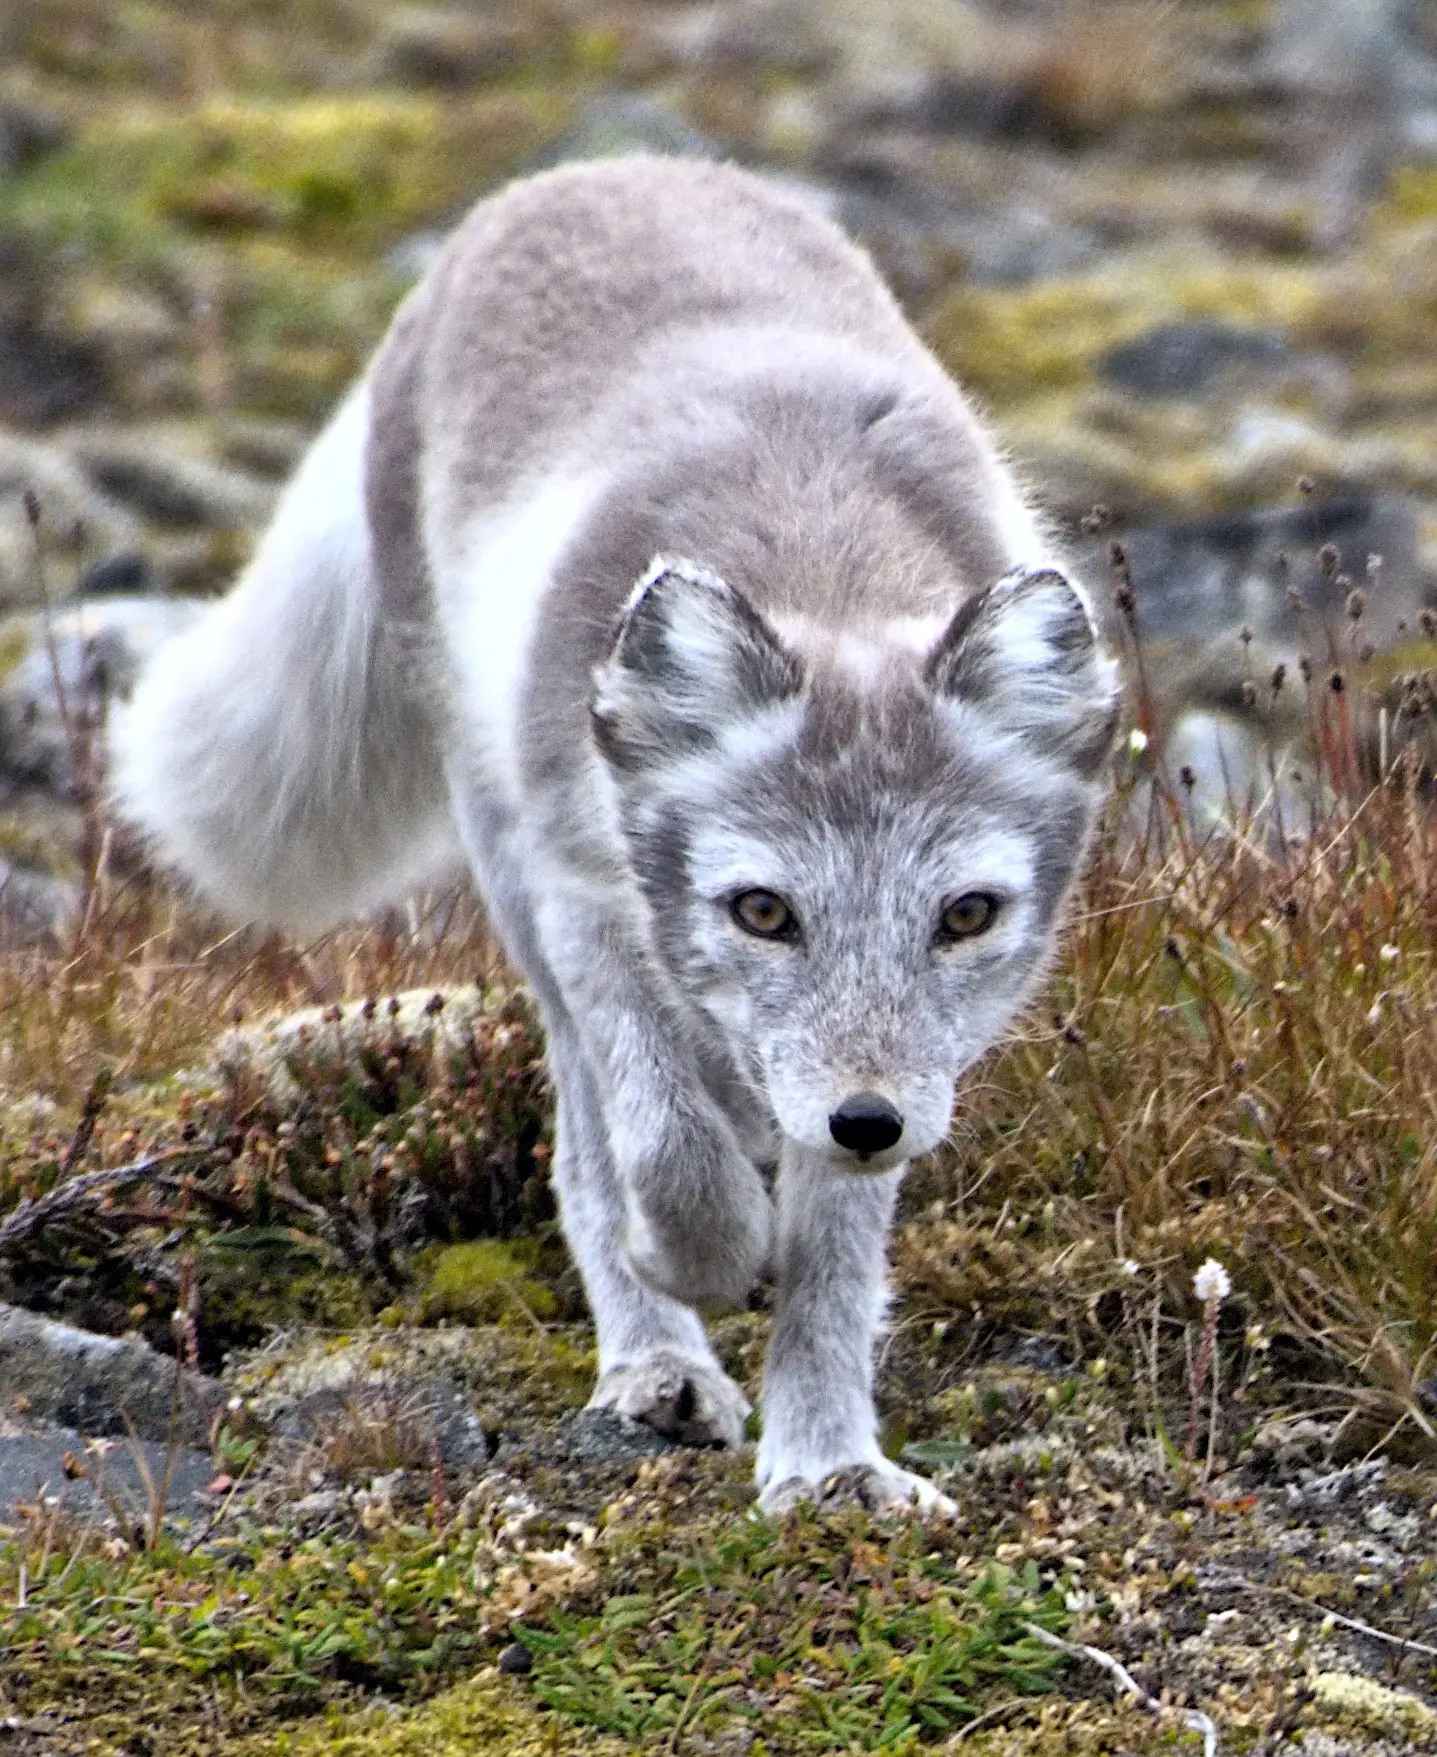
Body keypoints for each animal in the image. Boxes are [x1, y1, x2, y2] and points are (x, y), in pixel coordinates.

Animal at [111, 156, 1119, 1513]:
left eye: (966, 915)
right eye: (762, 909)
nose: (864, 1121)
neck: (825, 565)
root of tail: (585, 173)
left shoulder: (893, 1076)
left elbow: (835, 1267)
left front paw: (828, 1463)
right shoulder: (587, 893)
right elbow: (668, 1148)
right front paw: (701, 1257)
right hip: (507, 851)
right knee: (587, 1140)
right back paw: (657, 1358)